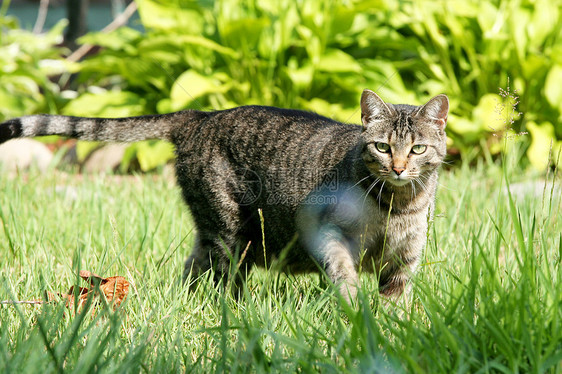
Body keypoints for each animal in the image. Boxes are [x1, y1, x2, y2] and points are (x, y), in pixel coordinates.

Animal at [0, 91, 446, 304]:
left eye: (417, 149)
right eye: (382, 148)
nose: (399, 168)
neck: (396, 207)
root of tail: (199, 115)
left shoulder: (405, 259)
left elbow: (396, 300)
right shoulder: (329, 236)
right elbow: (346, 279)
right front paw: (356, 312)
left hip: (218, 235)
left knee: (192, 270)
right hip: (231, 234)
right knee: (222, 280)